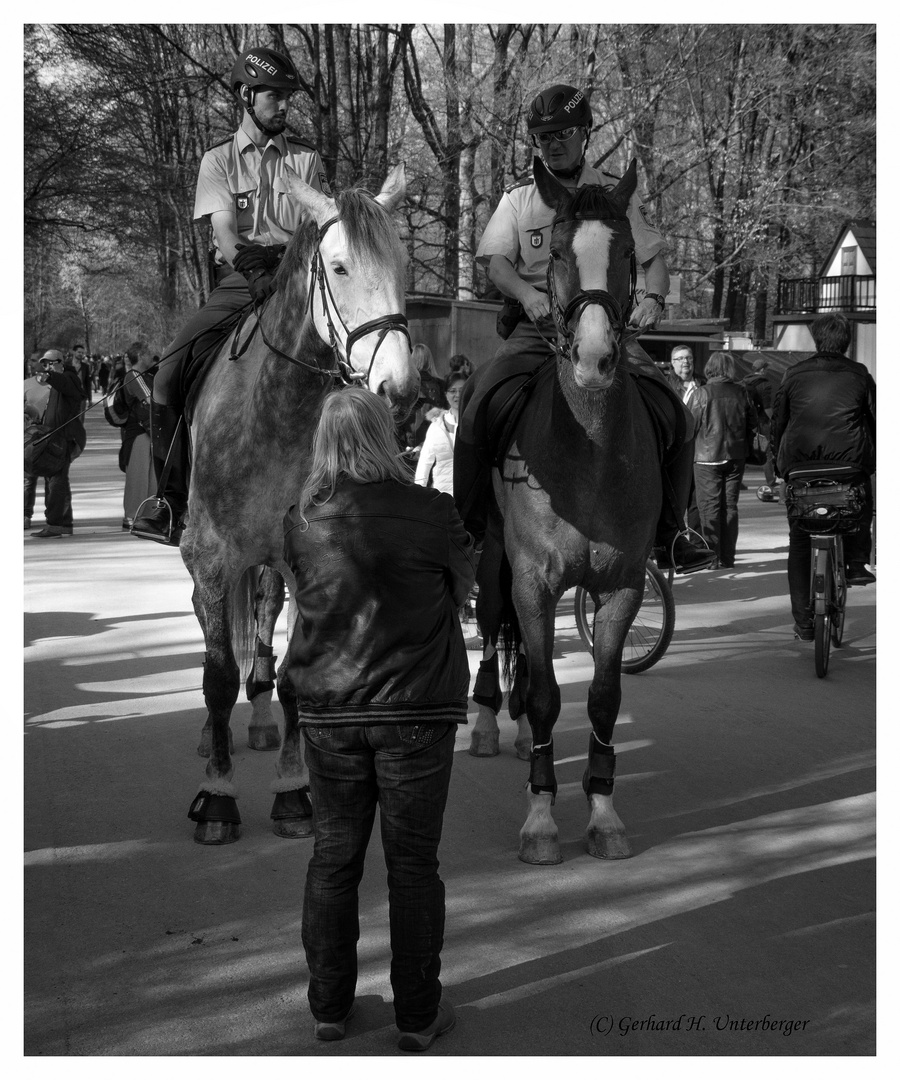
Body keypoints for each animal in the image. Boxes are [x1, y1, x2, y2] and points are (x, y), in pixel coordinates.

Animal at [184, 166, 421, 842]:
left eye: (402, 265)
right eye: (339, 267)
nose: (400, 390)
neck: (273, 413)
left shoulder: (303, 562)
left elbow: (295, 679)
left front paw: (292, 791)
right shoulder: (211, 558)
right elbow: (216, 677)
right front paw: (217, 795)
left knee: (264, 624)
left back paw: (262, 722)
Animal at [466, 159, 656, 864]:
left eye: (627, 253)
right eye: (554, 254)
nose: (596, 358)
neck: (589, 458)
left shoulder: (622, 585)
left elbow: (603, 697)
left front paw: (602, 812)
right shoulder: (533, 581)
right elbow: (550, 694)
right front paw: (542, 818)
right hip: (494, 555)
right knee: (495, 627)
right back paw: (490, 723)